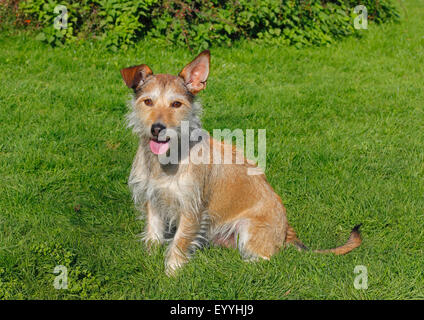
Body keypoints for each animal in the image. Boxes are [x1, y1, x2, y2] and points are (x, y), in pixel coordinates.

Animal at [119, 49, 362, 276]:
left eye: (176, 104)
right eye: (148, 102)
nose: (157, 129)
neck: (166, 161)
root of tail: (286, 232)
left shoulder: (191, 207)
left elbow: (179, 242)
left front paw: (171, 273)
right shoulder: (152, 198)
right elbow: (153, 233)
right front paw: (149, 259)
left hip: (248, 228)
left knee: (265, 260)